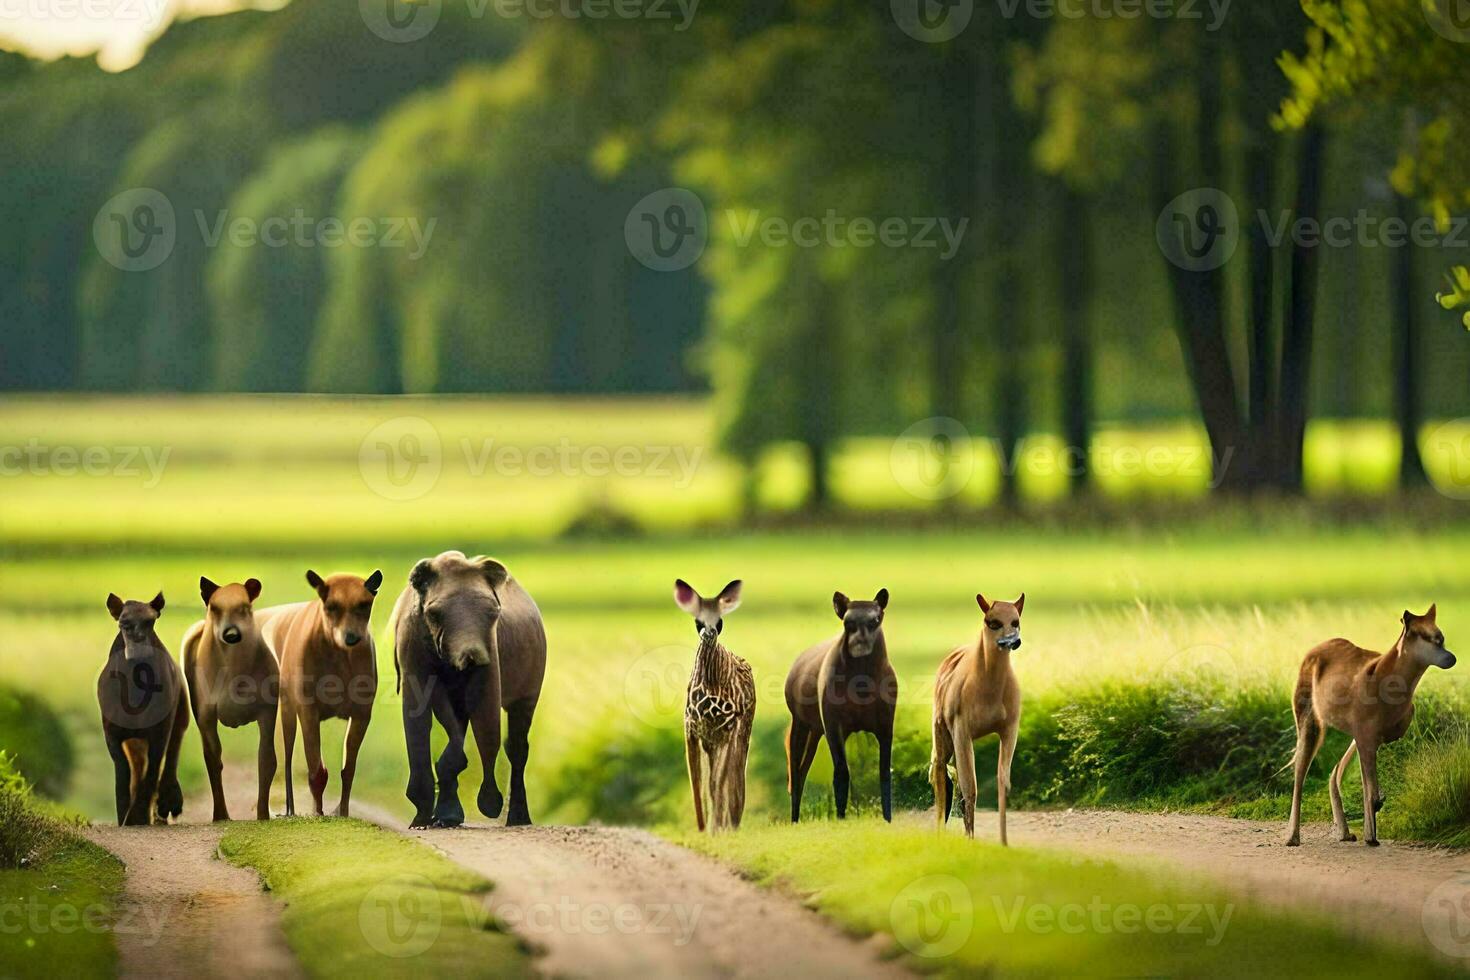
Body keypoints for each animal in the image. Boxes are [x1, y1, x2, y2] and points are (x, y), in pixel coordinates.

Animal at [673, 578, 752, 834]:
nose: (708, 633)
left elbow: (718, 781)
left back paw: (732, 823)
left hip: (742, 733)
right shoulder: (691, 729)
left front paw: (717, 828)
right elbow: (697, 782)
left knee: (735, 775)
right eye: (697, 620)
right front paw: (703, 827)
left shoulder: (728, 728)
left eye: (719, 620)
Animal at [929, 587, 1023, 846]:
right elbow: (970, 786)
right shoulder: (962, 730)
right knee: (940, 771)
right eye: (993, 622)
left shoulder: (1010, 729)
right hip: (943, 732)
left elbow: (1003, 781)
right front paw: (969, 839)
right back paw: (940, 832)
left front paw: (1004, 842)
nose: (1014, 641)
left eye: (1016, 621)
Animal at [1281, 602, 1452, 846]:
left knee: (1333, 771)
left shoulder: (1369, 735)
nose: (1451, 658)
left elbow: (1365, 783)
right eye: (1430, 638)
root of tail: (1315, 648)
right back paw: (1292, 836)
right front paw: (1371, 833)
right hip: (1309, 718)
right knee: (1300, 771)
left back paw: (1344, 832)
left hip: (1344, 731)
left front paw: (1371, 825)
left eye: (1442, 638)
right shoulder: (1366, 735)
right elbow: (1369, 785)